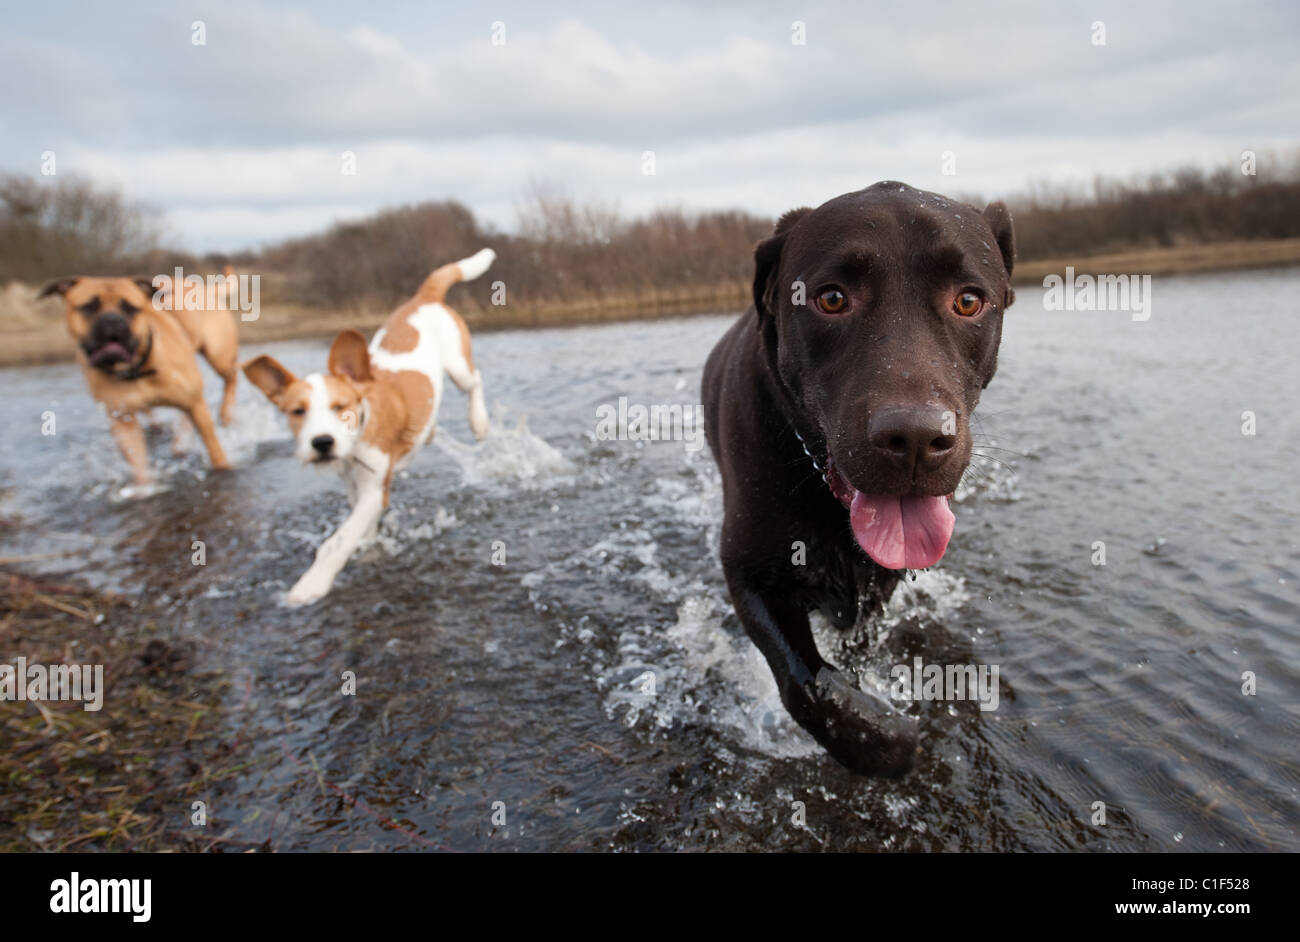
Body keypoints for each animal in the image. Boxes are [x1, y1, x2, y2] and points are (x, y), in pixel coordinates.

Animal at [39, 274, 241, 485]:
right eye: (89, 307)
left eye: (130, 308)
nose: (111, 320)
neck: (135, 370)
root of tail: (202, 286)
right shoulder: (122, 420)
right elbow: (137, 461)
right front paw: (143, 487)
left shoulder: (194, 404)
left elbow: (213, 445)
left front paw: (224, 467)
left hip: (218, 355)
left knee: (232, 377)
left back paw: (225, 414)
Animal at [240, 248, 491, 602]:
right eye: (297, 411)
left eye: (340, 407)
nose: (322, 442)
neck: (359, 431)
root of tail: (423, 298)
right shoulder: (354, 487)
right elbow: (361, 529)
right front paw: (369, 546)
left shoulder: (373, 491)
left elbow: (337, 542)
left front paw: (310, 585)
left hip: (458, 366)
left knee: (475, 381)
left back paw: (478, 421)